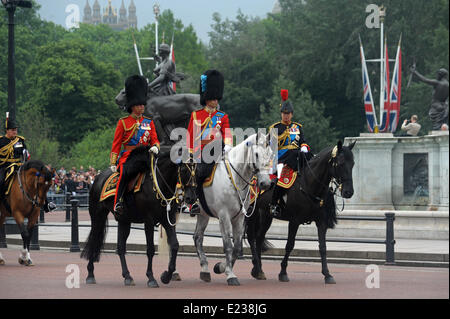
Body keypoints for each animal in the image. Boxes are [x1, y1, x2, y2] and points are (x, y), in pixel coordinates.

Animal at [80, 148, 196, 288]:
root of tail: (98, 177)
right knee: (94, 239)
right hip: (98, 216)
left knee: (120, 248)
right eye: (183, 170)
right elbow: (150, 249)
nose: (191, 198)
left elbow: (174, 245)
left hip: (124, 220)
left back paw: (127, 276)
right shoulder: (149, 221)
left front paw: (166, 276)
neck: (158, 184)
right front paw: (151, 278)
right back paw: (90, 274)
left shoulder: (168, 220)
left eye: (195, 169)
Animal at [194, 132, 274, 288]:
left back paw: (205, 269)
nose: (266, 183)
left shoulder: (239, 218)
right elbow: (228, 246)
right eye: (256, 154)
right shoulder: (224, 216)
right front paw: (230, 274)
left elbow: (236, 247)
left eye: (270, 154)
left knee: (197, 238)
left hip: (203, 214)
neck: (235, 177)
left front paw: (221, 267)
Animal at [246, 141, 356, 284]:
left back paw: (259, 270)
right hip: (251, 212)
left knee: (259, 238)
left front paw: (327, 274)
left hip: (265, 214)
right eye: (340, 163)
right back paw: (256, 266)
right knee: (251, 237)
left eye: (353, 163)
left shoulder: (321, 222)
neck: (309, 184)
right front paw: (283, 272)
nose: (349, 192)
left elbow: (323, 247)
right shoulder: (294, 221)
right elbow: (289, 245)